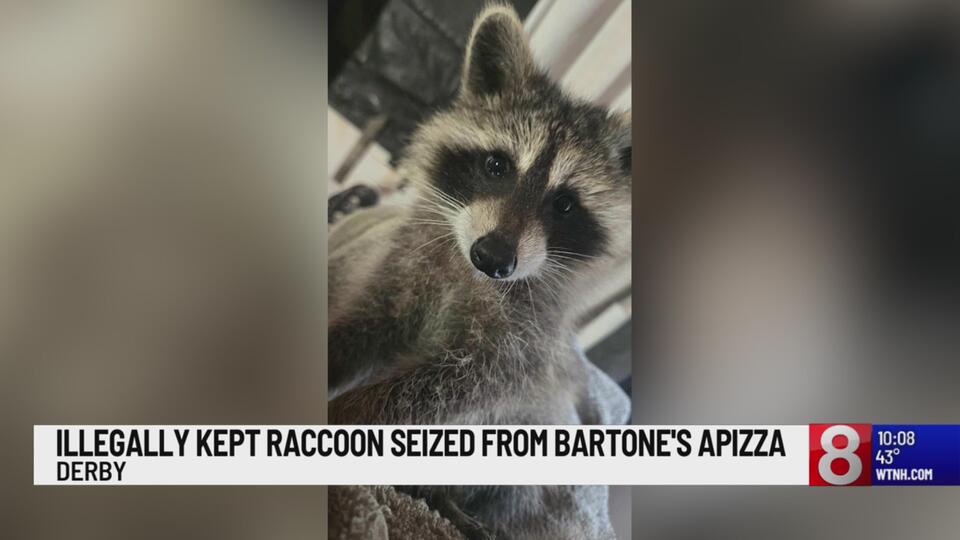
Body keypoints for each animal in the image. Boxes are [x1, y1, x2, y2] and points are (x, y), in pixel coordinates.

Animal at [328, 3, 631, 538]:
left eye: (564, 205)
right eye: (496, 165)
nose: (492, 256)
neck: (470, 275)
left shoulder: (519, 350)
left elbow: (448, 391)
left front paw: (346, 414)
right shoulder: (405, 270)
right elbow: (368, 322)